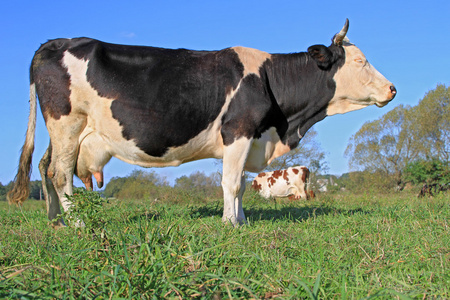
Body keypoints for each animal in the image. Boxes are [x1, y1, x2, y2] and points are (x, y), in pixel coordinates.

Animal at [7, 19, 396, 225]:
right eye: (360, 61)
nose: (392, 88)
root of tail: (55, 41)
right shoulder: (238, 131)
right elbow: (232, 183)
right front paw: (231, 223)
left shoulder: (248, 139)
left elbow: (240, 183)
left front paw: (242, 220)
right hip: (67, 123)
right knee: (59, 173)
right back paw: (76, 222)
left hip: (63, 131)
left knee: (45, 167)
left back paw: (55, 221)